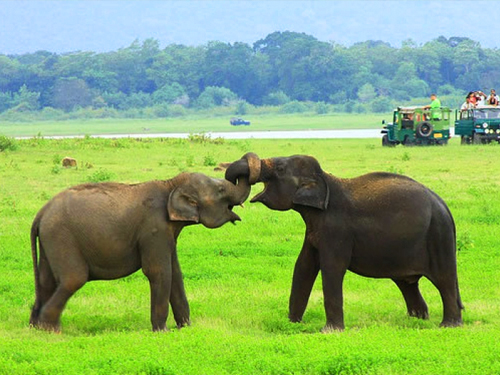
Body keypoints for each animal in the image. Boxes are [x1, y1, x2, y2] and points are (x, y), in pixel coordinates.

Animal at [28, 169, 254, 334]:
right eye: (220, 190)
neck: (170, 184)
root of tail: (40, 214)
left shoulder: (167, 234)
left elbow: (176, 273)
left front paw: (186, 328)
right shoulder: (154, 229)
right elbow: (159, 272)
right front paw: (162, 332)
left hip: (50, 242)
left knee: (47, 282)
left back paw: (36, 327)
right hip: (61, 238)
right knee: (73, 279)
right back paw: (51, 330)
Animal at [225, 153, 462, 332]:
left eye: (281, 168)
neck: (325, 180)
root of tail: (444, 205)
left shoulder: (335, 228)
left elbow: (332, 268)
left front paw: (329, 331)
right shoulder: (314, 230)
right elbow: (303, 266)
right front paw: (292, 325)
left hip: (438, 236)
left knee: (444, 279)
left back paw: (448, 325)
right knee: (407, 283)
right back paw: (417, 320)